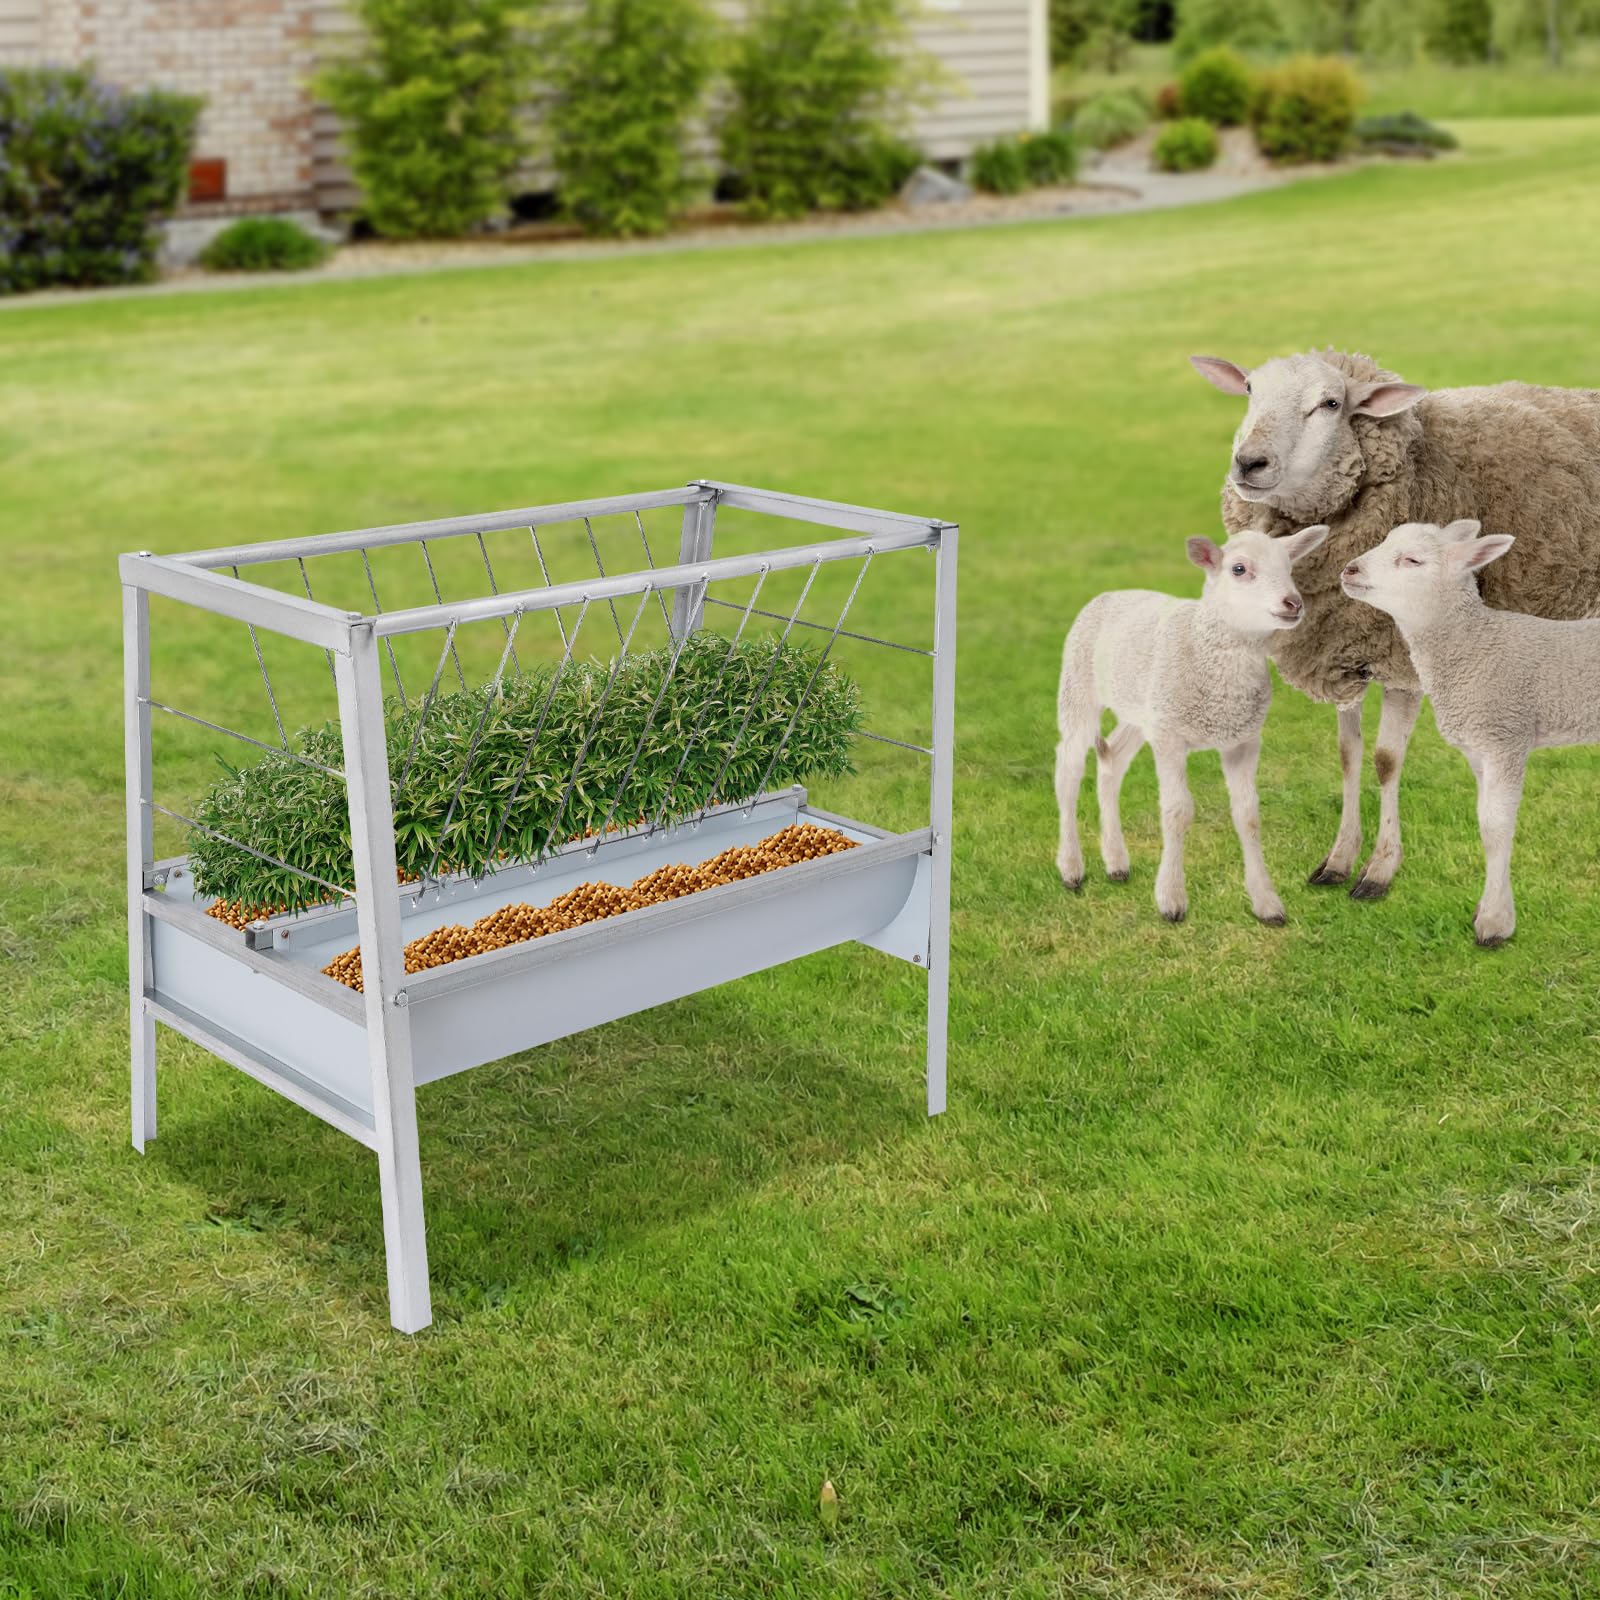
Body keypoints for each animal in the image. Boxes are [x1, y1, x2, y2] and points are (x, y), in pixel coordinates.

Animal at [1056, 524, 1329, 924]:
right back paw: (1071, 868)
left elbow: (1248, 816)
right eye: (1239, 569)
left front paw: (1267, 903)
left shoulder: (1243, 739)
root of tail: (1112, 593)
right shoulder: (1171, 736)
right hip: (1078, 686)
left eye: (1289, 567)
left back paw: (1116, 862)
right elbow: (1177, 811)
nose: (1293, 603)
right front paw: (1171, 899)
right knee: (1068, 771)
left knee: (1111, 760)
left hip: (1143, 708)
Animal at [1190, 348, 1600, 901]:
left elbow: (1386, 760)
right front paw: (1338, 860)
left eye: (1331, 403)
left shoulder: (1403, 658)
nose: (1249, 462)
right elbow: (1348, 754)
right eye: (1250, 390)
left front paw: (1379, 870)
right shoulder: (1344, 652)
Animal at [1341, 519, 1600, 947]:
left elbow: (1496, 825)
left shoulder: (1505, 736)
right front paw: (1491, 906)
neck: (1473, 643)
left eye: (1412, 560)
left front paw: (1495, 923)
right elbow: (1484, 820)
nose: (1350, 570)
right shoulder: (1479, 747)